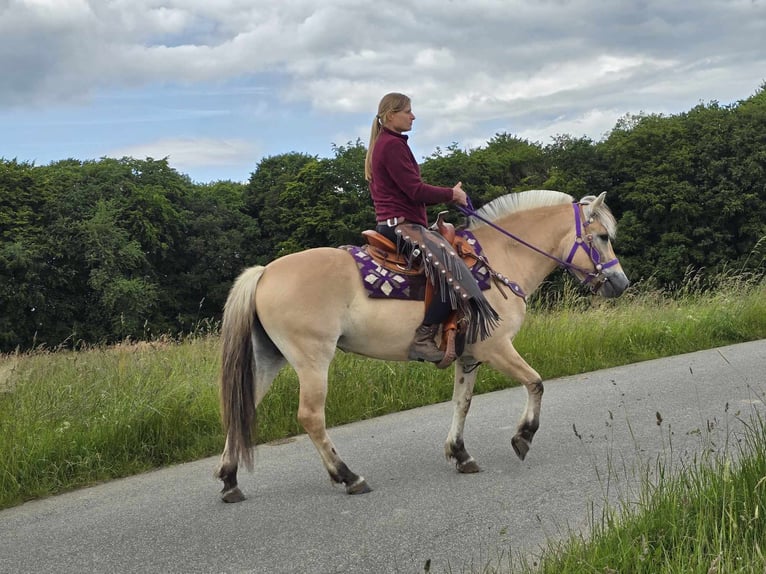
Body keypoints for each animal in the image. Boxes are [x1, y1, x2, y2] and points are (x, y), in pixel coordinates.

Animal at [214, 190, 632, 504]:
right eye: (602, 237)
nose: (620, 283)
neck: (499, 260)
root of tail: (265, 272)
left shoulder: (469, 357)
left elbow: (462, 403)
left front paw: (460, 454)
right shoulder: (496, 348)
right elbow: (536, 383)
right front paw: (522, 437)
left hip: (268, 359)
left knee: (242, 409)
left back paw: (230, 480)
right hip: (312, 359)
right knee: (311, 417)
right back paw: (348, 476)